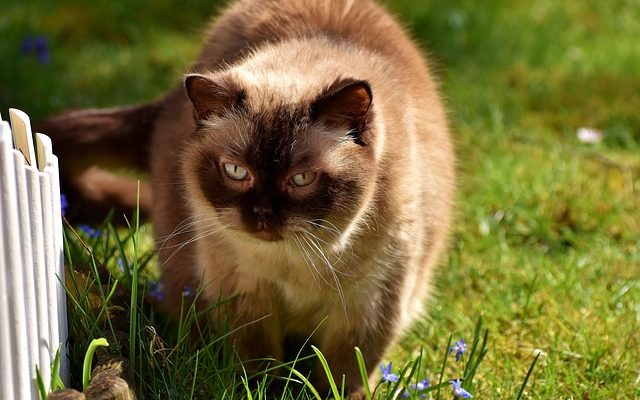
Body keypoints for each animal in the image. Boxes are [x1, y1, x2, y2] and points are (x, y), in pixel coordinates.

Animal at [36, 0, 456, 396]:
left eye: (301, 179)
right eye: (237, 172)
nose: (262, 214)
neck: (297, 261)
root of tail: (169, 101)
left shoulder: (369, 307)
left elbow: (343, 376)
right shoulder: (244, 295)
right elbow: (259, 367)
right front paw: (265, 390)